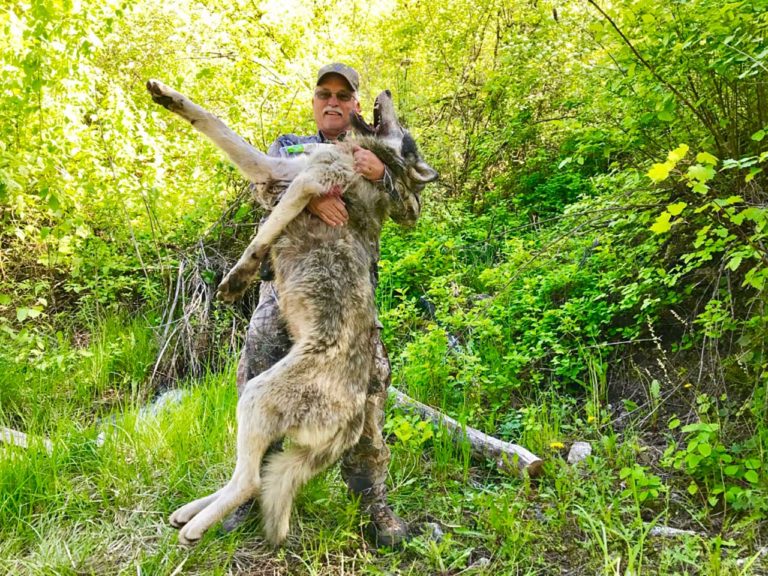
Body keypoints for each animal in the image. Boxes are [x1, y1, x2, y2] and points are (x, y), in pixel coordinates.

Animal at [146, 80, 438, 544]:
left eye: (401, 125)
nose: (389, 90)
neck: (362, 156)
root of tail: (351, 422)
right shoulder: (273, 171)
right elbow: (211, 122)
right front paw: (166, 96)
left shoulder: (306, 185)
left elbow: (262, 237)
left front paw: (236, 278)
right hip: (258, 405)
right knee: (254, 476)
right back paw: (190, 512)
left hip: (255, 397)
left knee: (251, 480)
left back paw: (194, 527)